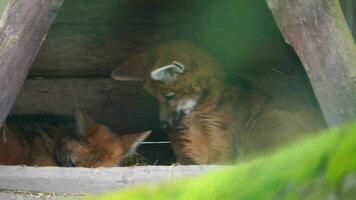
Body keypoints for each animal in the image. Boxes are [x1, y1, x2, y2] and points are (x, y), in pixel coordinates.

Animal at [111, 40, 326, 164]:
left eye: (169, 96)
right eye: (153, 97)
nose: (162, 124)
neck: (200, 112)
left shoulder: (221, 147)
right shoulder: (189, 154)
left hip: (265, 124)